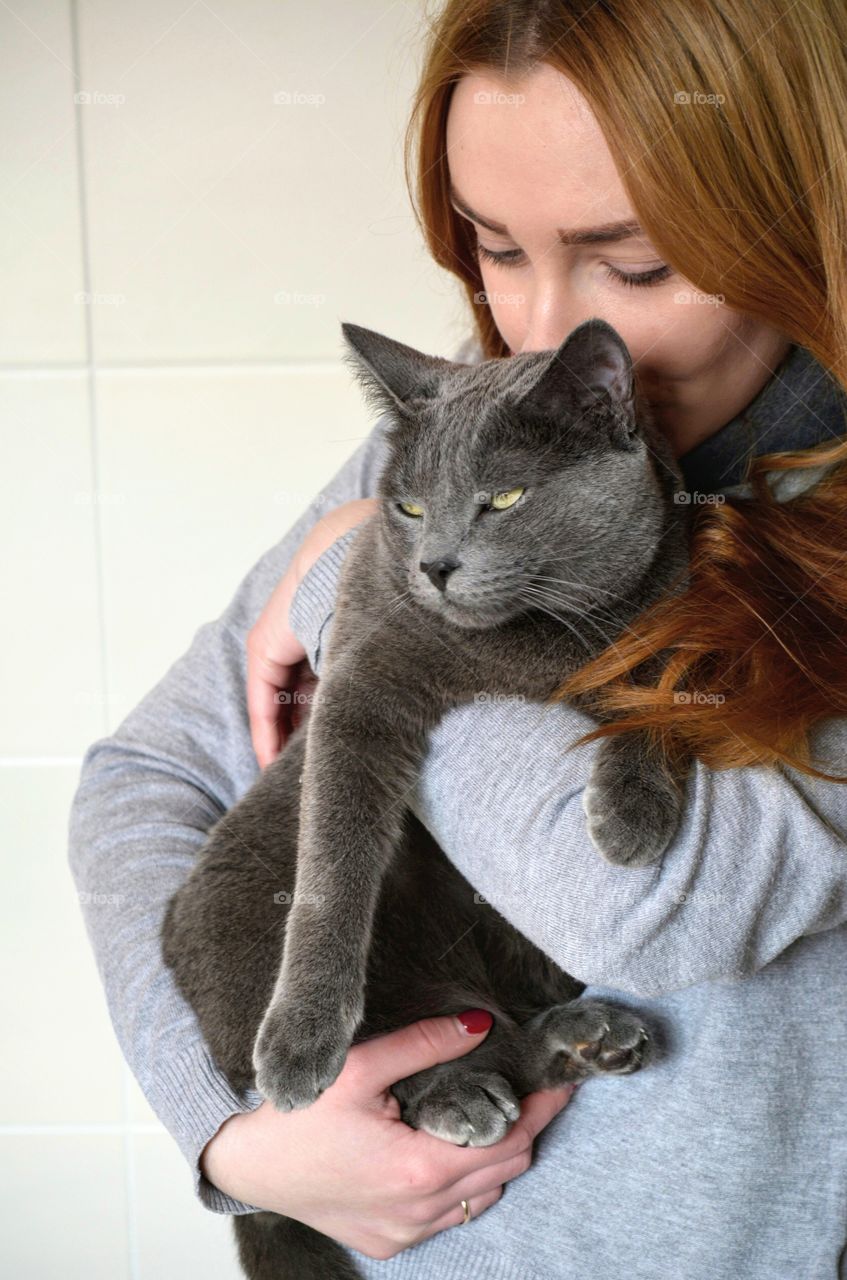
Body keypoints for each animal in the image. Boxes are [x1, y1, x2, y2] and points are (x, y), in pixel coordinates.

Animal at [162, 320, 696, 1280]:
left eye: (503, 498)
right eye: (408, 510)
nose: (434, 565)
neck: (527, 647)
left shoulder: (672, 616)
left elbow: (656, 694)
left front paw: (630, 817)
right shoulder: (361, 686)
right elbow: (335, 864)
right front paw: (303, 1037)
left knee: (505, 1044)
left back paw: (586, 1035)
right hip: (250, 905)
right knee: (404, 1051)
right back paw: (451, 1086)